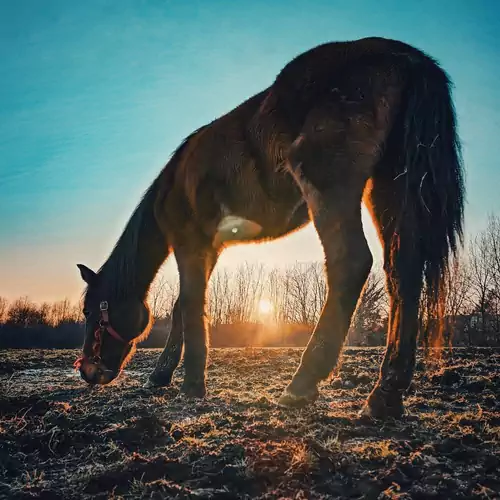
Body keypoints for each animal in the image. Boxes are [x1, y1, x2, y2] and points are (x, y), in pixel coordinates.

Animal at [75, 36, 464, 418]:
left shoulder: (190, 245)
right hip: (388, 190)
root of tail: (406, 59)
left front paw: (191, 385)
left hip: (330, 185)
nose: (87, 371)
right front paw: (163, 375)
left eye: (91, 311)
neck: (173, 183)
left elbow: (188, 306)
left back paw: (302, 384)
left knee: (351, 263)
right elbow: (183, 307)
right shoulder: (209, 249)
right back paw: (385, 395)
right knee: (403, 273)